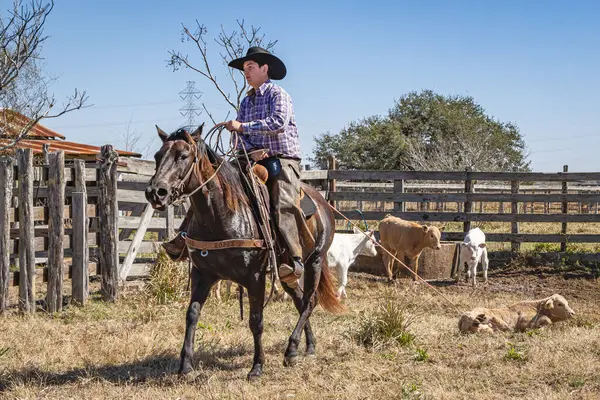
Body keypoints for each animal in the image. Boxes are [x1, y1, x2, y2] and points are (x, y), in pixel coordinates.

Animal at [144, 125, 344, 382]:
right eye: (158, 156)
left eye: (183, 156)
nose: (155, 192)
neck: (221, 215)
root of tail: (322, 201)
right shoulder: (202, 275)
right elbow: (192, 315)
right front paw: (185, 367)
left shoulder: (255, 278)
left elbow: (256, 321)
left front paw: (257, 367)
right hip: (286, 272)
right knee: (300, 301)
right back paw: (306, 347)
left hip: (314, 261)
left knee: (310, 300)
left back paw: (291, 348)